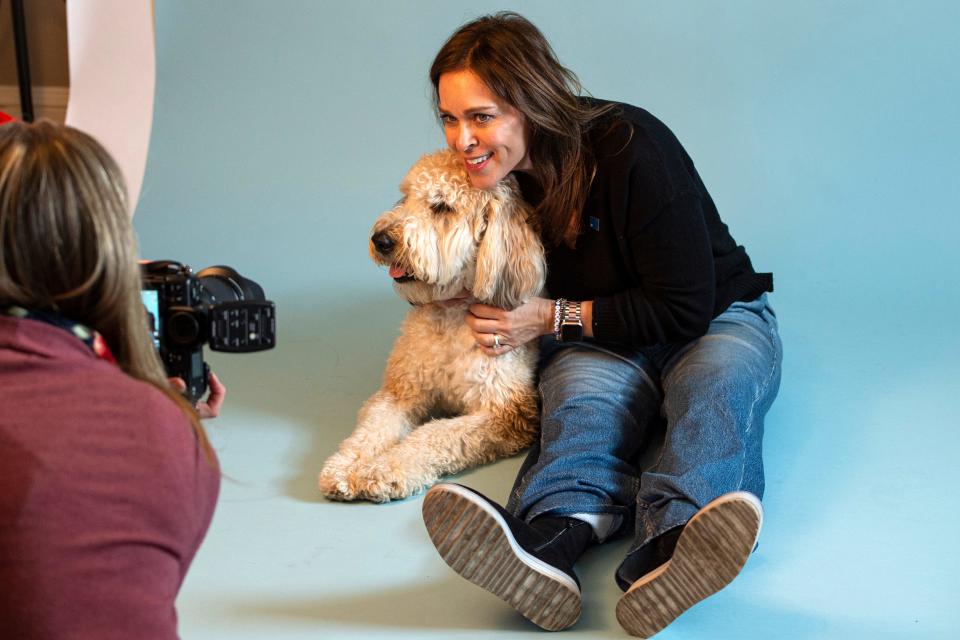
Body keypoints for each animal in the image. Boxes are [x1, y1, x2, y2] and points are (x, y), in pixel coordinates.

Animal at [320, 149, 548, 500]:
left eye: (441, 206)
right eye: (405, 197)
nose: (381, 239)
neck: (450, 315)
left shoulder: (504, 410)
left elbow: (434, 434)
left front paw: (380, 470)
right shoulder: (401, 391)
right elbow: (372, 429)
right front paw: (345, 467)